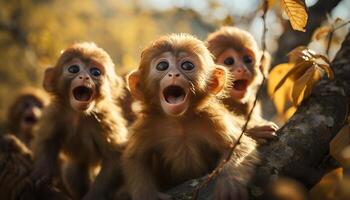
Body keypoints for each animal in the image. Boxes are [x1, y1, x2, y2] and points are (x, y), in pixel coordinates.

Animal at [30, 42, 128, 200]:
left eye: (95, 72)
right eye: (74, 69)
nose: (85, 77)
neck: (78, 115)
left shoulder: (105, 120)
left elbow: (114, 158)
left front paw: (93, 196)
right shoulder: (55, 113)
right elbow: (47, 140)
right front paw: (43, 173)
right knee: (74, 173)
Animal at [122, 33, 258, 199]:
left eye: (187, 66)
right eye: (162, 66)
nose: (173, 74)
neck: (179, 121)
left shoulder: (212, 119)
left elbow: (241, 146)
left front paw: (230, 183)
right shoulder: (147, 126)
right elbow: (135, 159)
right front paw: (148, 195)